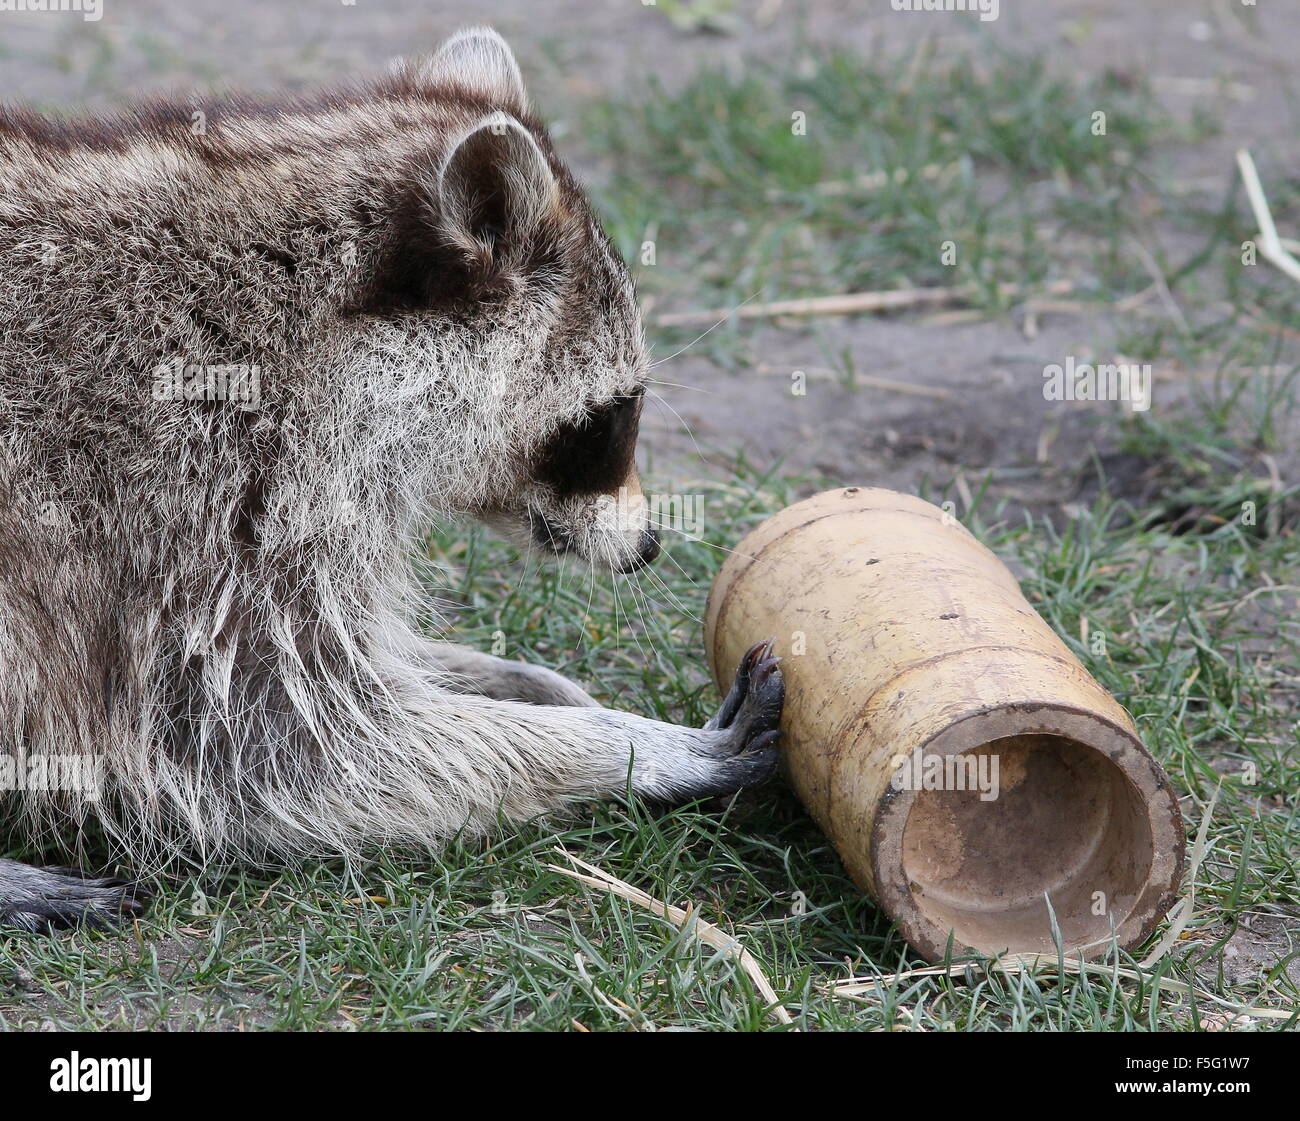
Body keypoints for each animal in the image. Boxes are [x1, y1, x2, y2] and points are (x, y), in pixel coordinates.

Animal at [0, 30, 780, 936]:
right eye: (611, 418)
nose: (650, 545)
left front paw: (521, 685)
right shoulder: (192, 513)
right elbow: (272, 746)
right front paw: (628, 746)